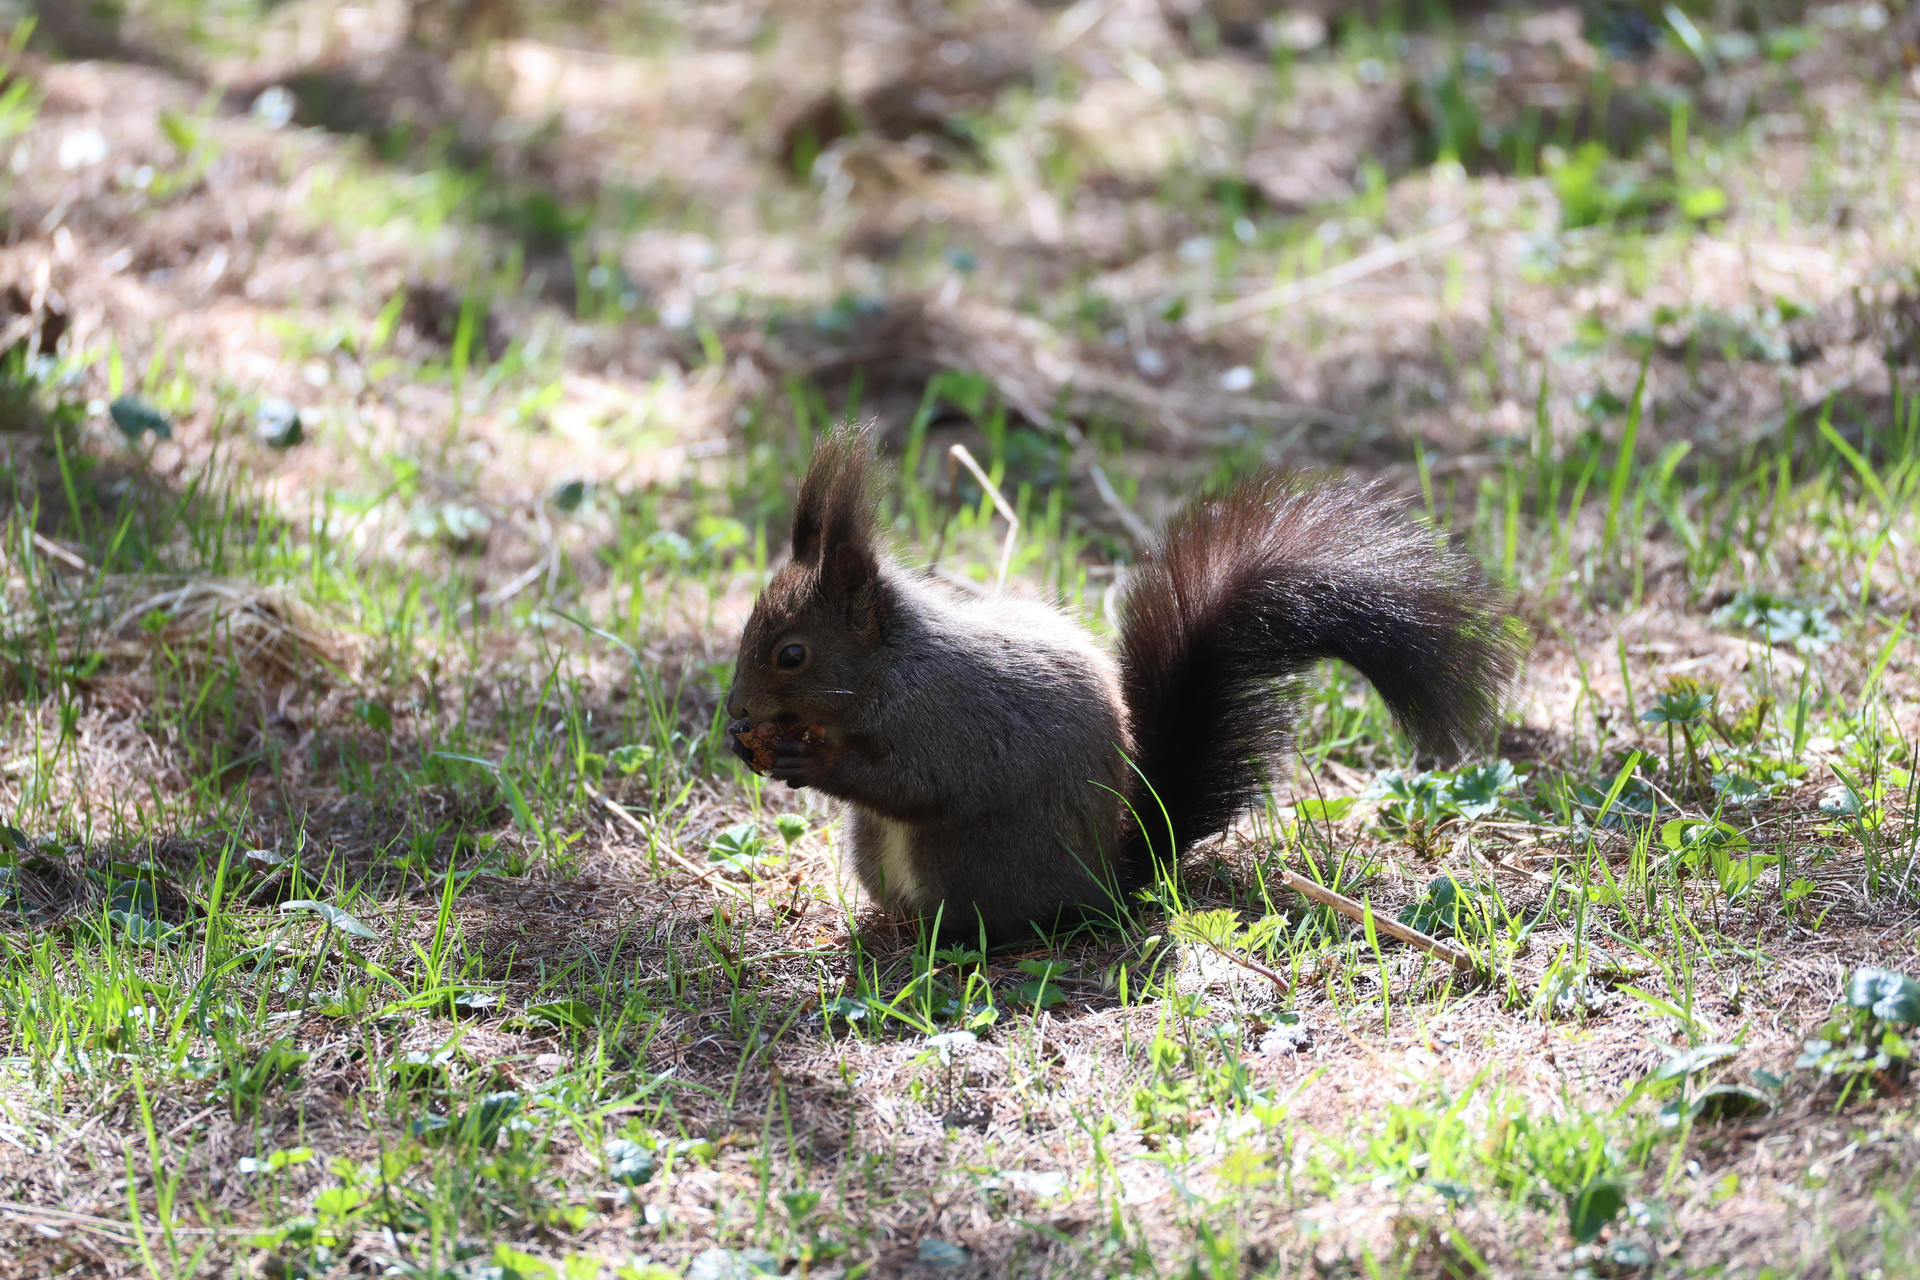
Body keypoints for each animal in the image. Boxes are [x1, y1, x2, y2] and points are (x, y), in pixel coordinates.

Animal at [724, 423, 1525, 945]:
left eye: (791, 654)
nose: (735, 713)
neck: (890, 672)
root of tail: (1108, 878)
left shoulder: (953, 716)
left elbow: (921, 782)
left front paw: (808, 758)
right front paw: (753, 746)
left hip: (971, 862)